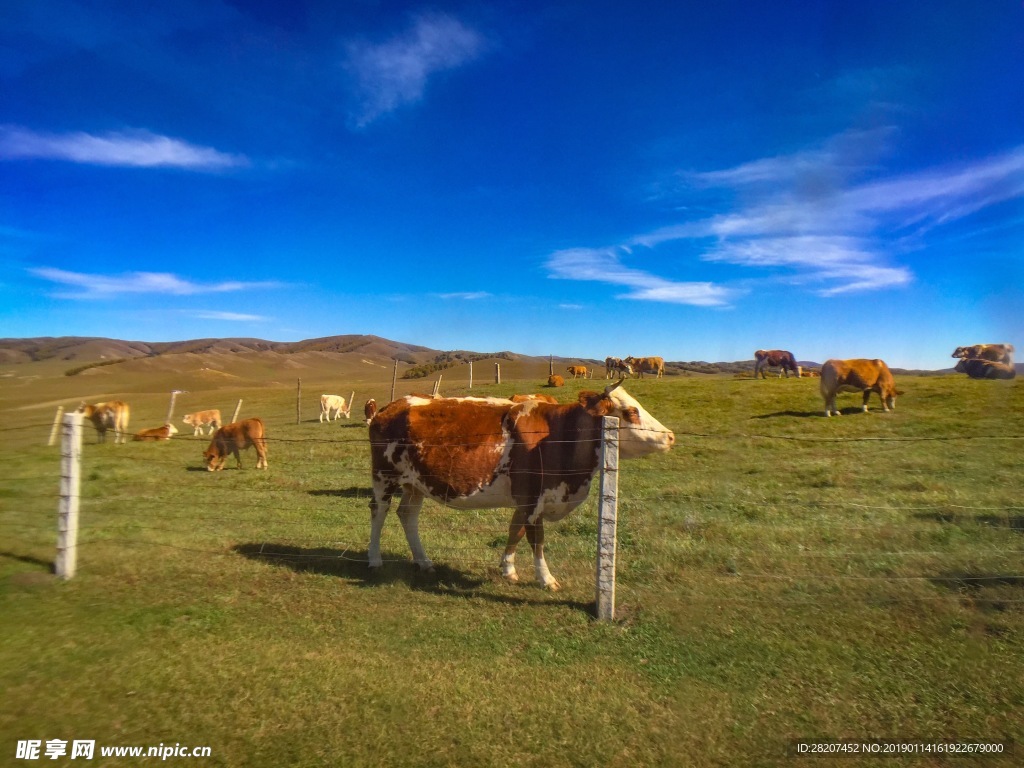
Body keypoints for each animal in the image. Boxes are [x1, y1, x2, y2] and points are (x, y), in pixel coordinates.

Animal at [364, 382, 675, 589]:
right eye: (631, 412)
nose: (670, 436)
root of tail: (393, 405)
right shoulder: (531, 494)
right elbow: (528, 535)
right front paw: (531, 575)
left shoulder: (535, 497)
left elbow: (526, 534)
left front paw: (524, 572)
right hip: (384, 475)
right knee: (378, 511)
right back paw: (374, 559)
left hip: (415, 483)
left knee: (407, 515)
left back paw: (424, 561)